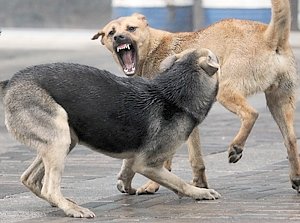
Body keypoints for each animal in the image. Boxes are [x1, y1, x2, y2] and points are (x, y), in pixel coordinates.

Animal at [0, 48, 220, 218]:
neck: (174, 92)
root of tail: (11, 82)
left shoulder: (136, 157)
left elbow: (127, 172)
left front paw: (127, 187)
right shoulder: (148, 164)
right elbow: (178, 182)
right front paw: (199, 192)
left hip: (64, 139)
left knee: (29, 178)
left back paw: (63, 203)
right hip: (59, 138)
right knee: (49, 188)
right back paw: (72, 209)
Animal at [93, 0, 300, 194]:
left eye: (131, 28)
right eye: (111, 33)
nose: (119, 37)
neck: (153, 48)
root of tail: (269, 37)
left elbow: (163, 160)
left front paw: (152, 185)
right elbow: (195, 157)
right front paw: (200, 184)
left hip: (226, 90)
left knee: (252, 114)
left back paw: (236, 147)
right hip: (279, 103)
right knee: (290, 141)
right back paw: (296, 178)